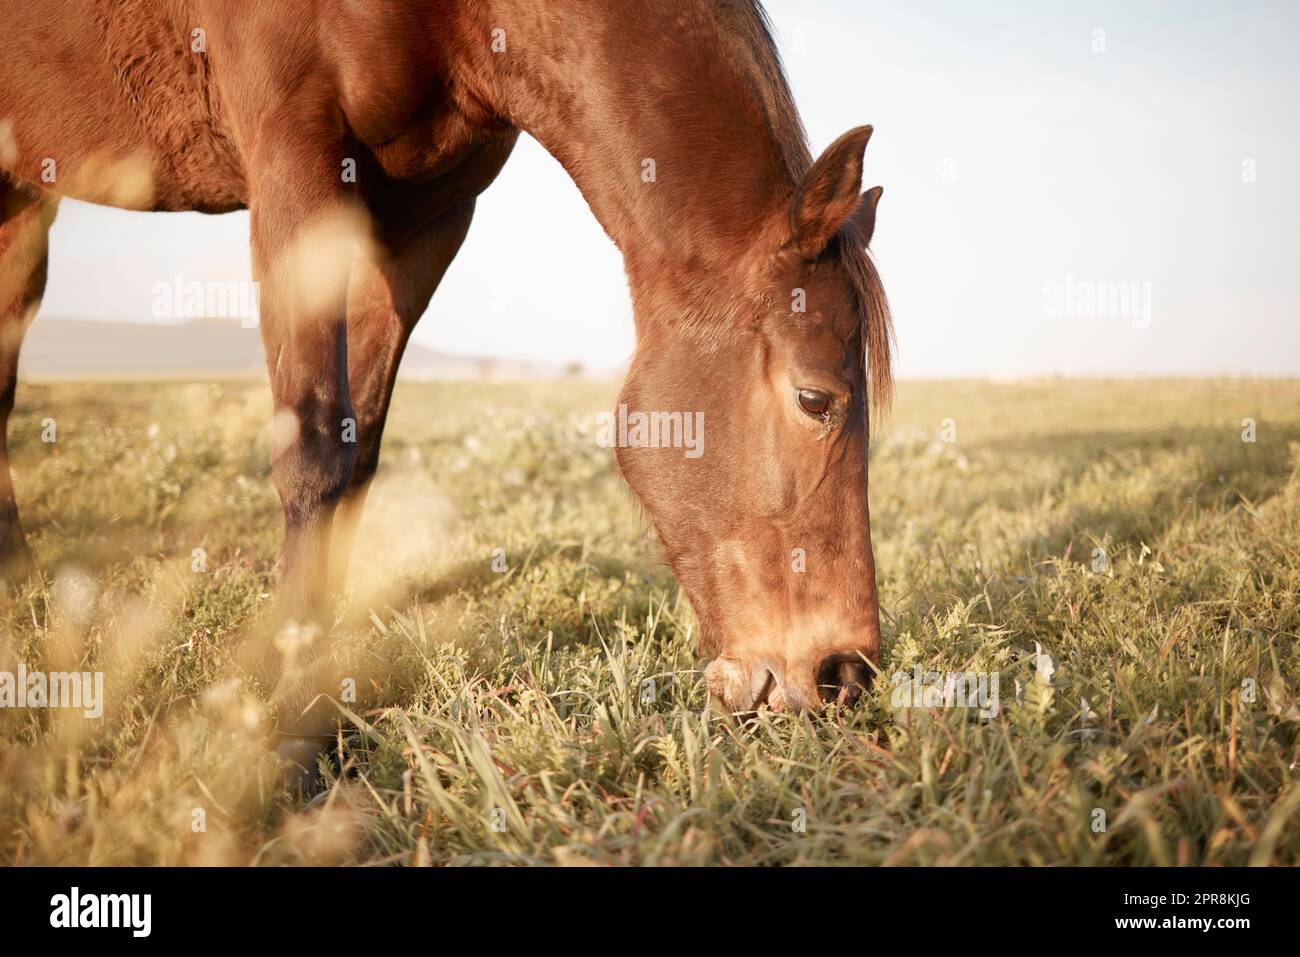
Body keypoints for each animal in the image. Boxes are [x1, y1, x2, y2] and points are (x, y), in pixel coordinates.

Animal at [0, 1, 894, 764]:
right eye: (816, 399)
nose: (845, 674)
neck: (464, 19)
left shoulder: (426, 217)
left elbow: (358, 449)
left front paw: (321, 691)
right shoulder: (293, 158)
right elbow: (315, 446)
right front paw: (286, 720)